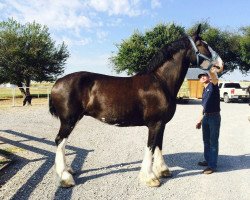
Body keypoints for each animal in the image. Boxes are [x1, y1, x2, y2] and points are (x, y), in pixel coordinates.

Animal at [48, 25, 223, 188]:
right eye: (202, 44)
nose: (221, 64)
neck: (160, 82)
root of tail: (57, 82)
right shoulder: (154, 124)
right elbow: (150, 147)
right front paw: (150, 178)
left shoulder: (161, 124)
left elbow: (159, 145)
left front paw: (163, 170)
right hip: (69, 120)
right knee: (60, 141)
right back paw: (65, 177)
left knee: (62, 143)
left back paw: (68, 171)